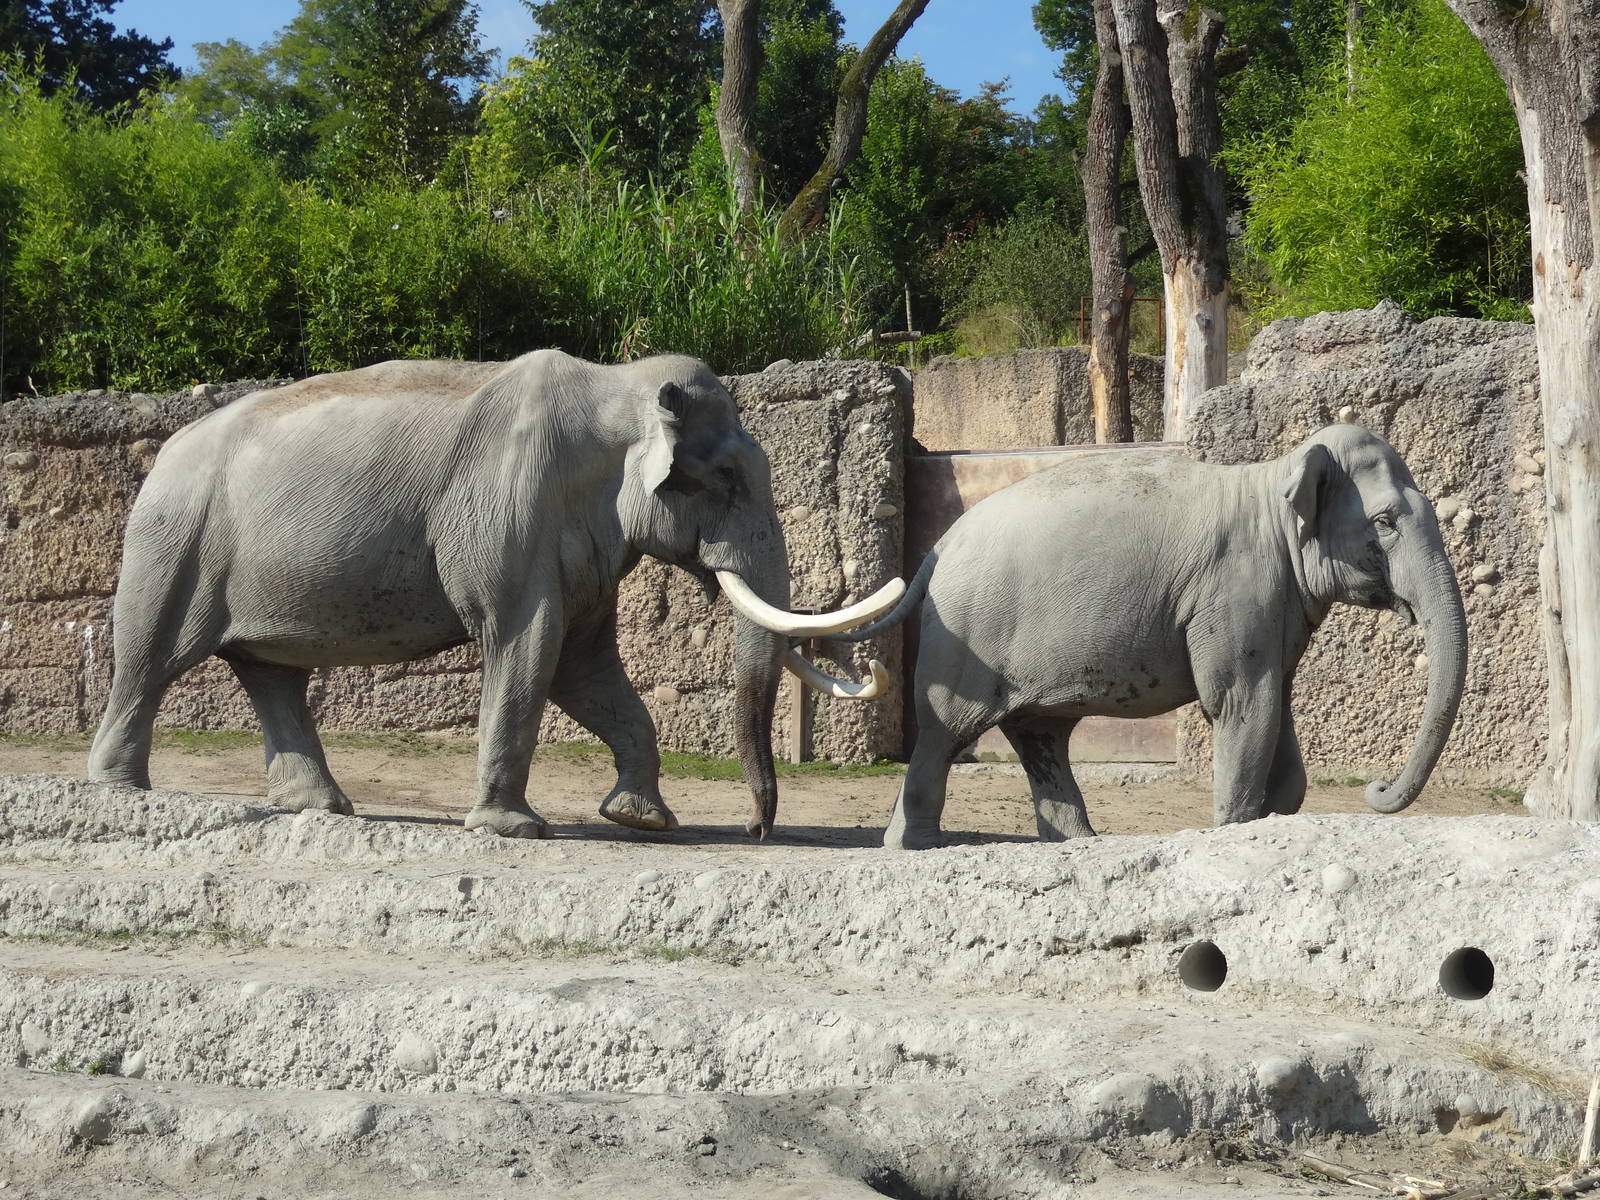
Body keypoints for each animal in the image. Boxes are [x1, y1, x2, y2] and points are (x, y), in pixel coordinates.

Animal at [87, 351, 903, 839]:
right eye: (726, 479)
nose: (759, 829)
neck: (617, 386)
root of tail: (161, 456)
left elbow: (586, 669)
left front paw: (642, 820)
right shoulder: (512, 513)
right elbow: (526, 648)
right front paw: (513, 828)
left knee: (271, 673)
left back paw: (322, 807)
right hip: (174, 544)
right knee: (151, 659)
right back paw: (121, 793)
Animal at [832, 423, 1467, 850]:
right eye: (1384, 523)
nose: (1376, 788)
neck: (1272, 481)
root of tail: (936, 549)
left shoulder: (1273, 607)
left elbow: (1276, 712)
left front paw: (1271, 819)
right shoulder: (1233, 593)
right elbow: (1240, 706)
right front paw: (1233, 829)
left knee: (1040, 738)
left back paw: (1079, 844)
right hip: (964, 639)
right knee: (944, 732)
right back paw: (915, 846)